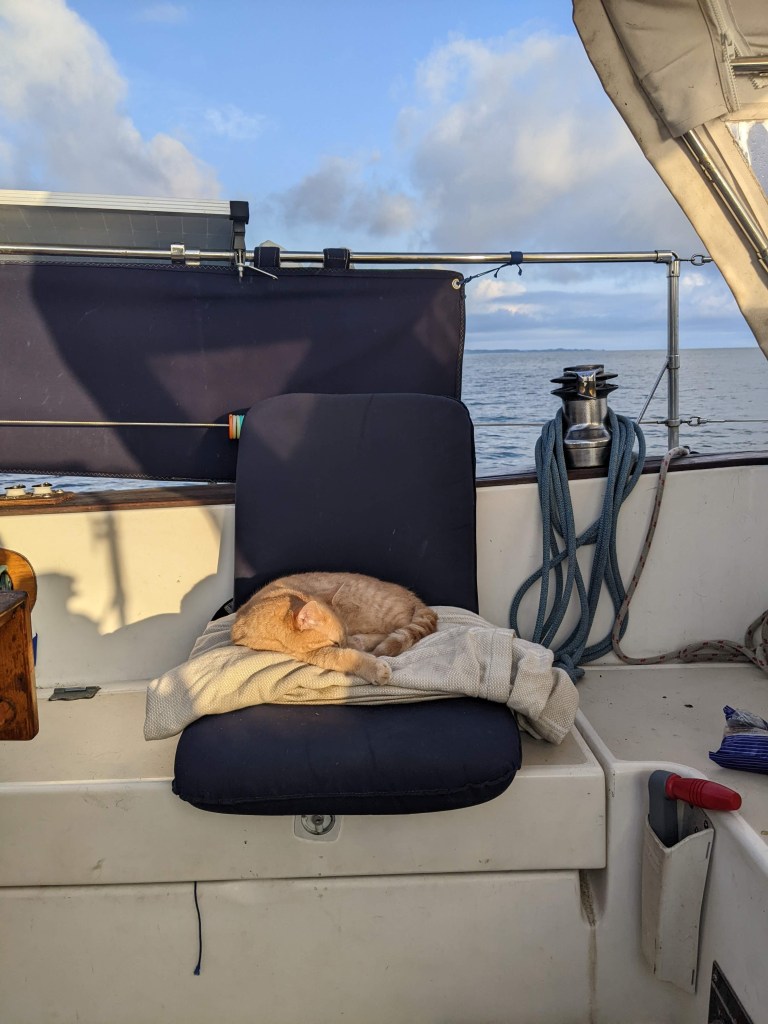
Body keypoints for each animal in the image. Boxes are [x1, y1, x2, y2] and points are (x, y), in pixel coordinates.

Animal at [231, 571, 438, 685]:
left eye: (342, 639)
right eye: (336, 642)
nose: (347, 642)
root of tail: (412, 596)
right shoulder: (312, 652)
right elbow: (342, 656)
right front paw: (373, 666)